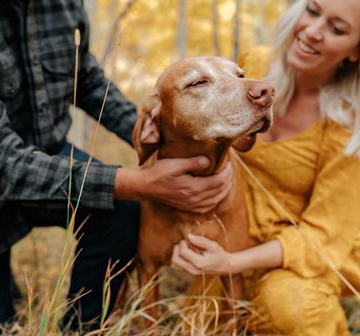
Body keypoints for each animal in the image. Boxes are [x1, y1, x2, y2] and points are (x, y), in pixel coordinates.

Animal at [118, 56, 272, 324]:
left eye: (240, 75)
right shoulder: (147, 269)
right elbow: (150, 322)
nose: (267, 92)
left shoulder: (230, 269)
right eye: (197, 82)